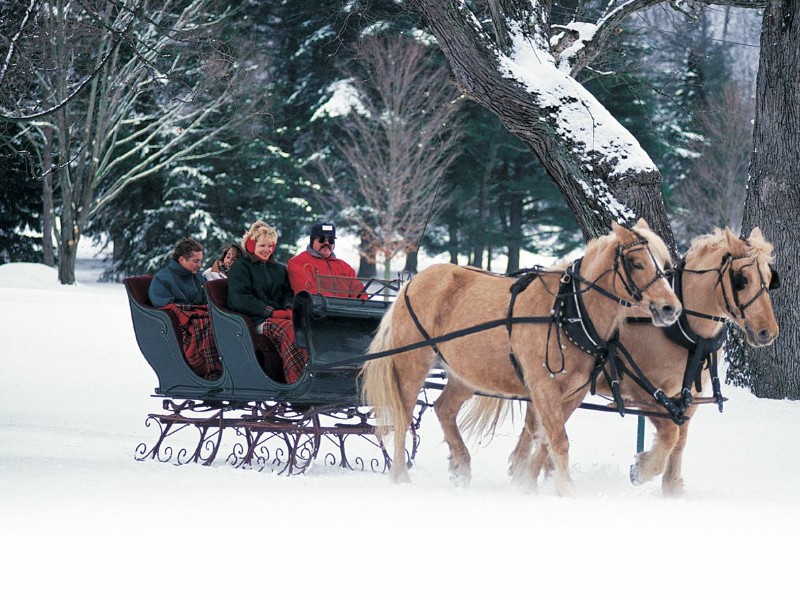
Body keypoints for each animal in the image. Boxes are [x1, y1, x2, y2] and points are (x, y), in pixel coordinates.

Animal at [362, 218, 680, 494]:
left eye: (664, 266)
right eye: (637, 263)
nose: (671, 309)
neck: (567, 313)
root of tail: (410, 284)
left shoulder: (572, 393)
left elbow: (546, 440)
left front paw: (527, 484)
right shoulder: (543, 386)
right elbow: (558, 440)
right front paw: (565, 489)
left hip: (465, 373)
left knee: (444, 409)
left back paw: (461, 467)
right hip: (412, 364)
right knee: (403, 417)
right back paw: (400, 477)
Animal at [466, 227, 780, 494]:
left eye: (769, 279)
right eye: (741, 280)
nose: (768, 332)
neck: (683, 331)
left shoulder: (687, 397)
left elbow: (679, 441)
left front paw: (672, 488)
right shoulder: (643, 392)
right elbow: (670, 436)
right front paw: (642, 469)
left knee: (534, 429)